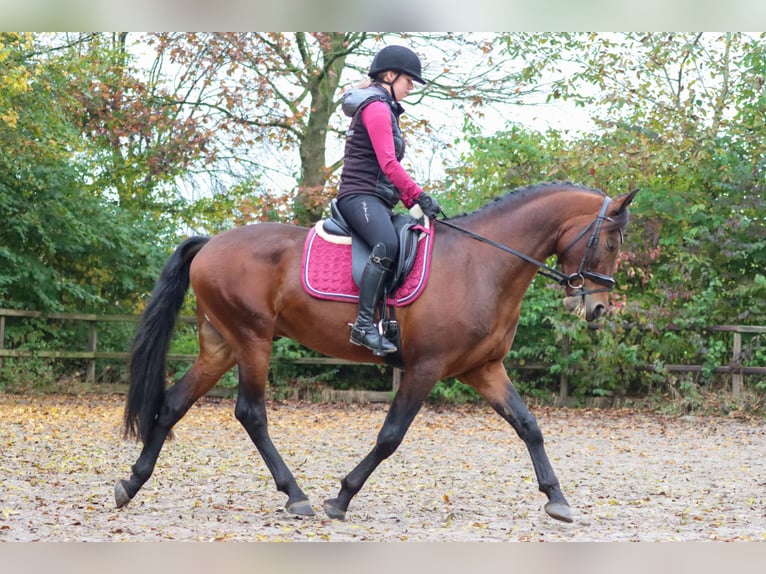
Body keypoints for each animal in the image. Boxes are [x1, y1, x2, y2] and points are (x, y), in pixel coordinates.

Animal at [117, 182, 640, 524]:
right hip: (252, 340)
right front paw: (342, 498)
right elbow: (390, 436)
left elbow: (529, 425)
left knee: (172, 404)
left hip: (222, 345)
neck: (482, 264)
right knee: (250, 412)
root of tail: (209, 244)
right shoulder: (425, 368)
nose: (596, 308)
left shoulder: (483, 368)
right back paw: (297, 496)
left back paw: (131, 484)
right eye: (611, 241)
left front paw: (557, 499)